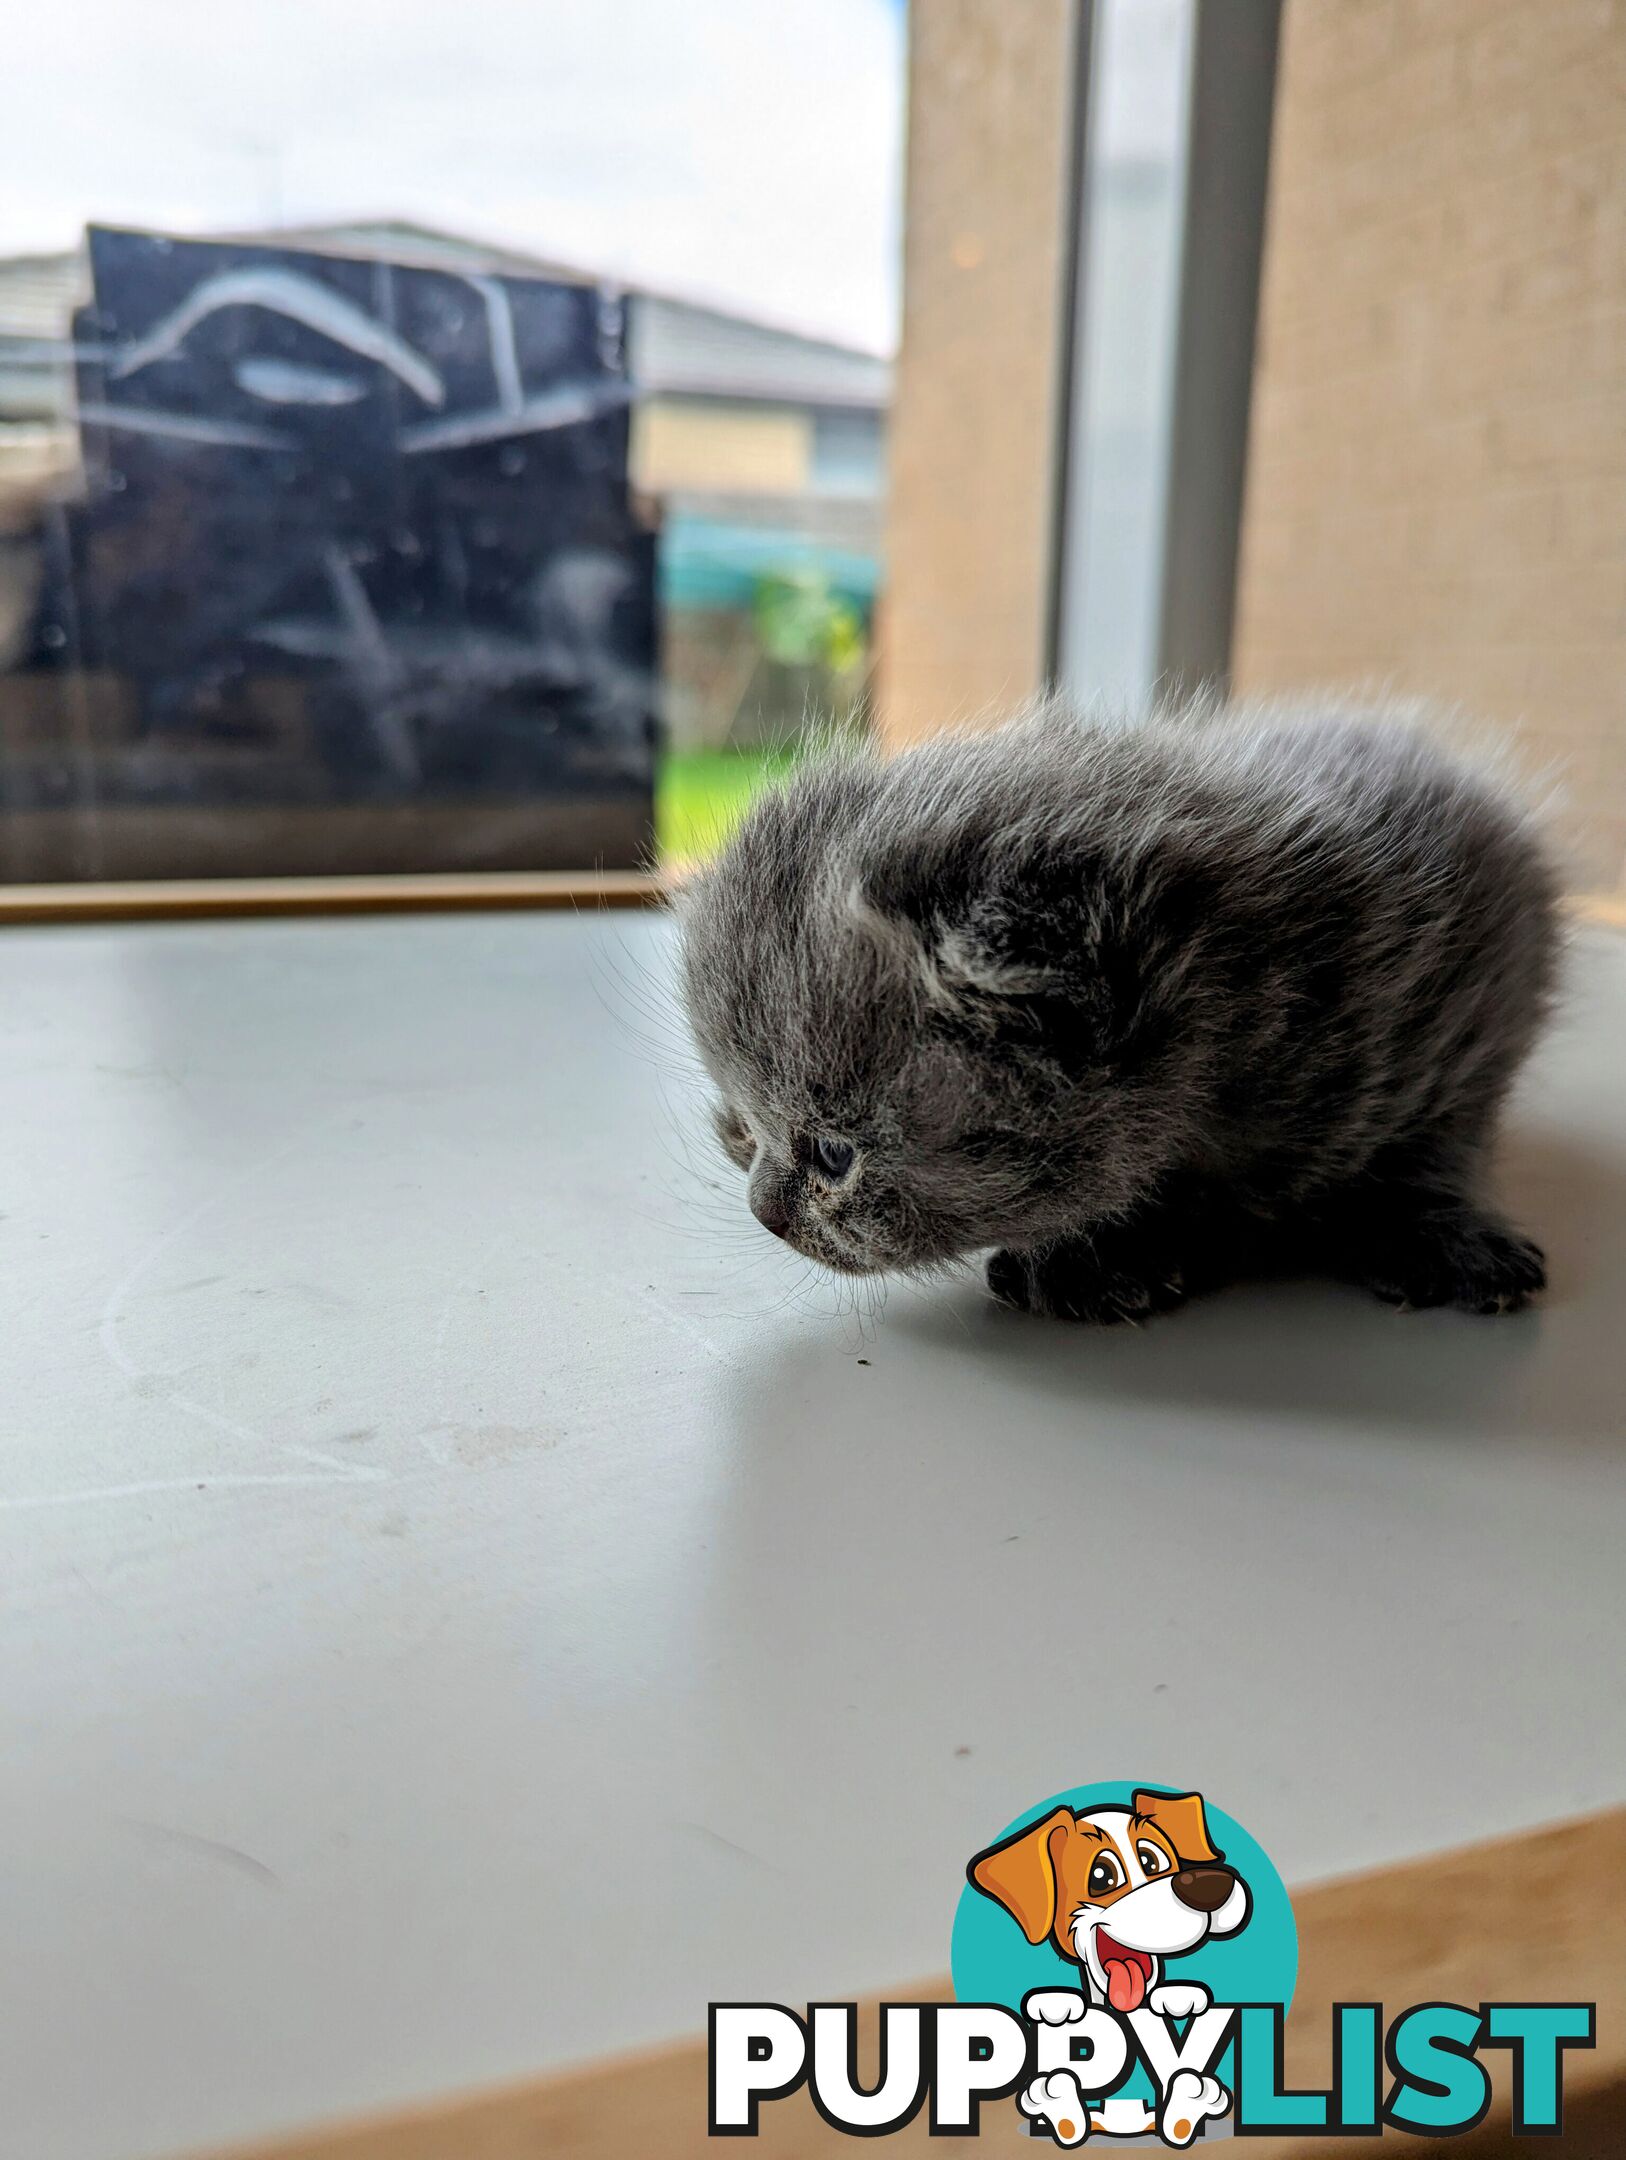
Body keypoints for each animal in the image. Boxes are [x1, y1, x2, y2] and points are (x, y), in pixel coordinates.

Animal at [673, 699, 1563, 1321]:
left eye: (834, 1154)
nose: (764, 1215)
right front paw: (1095, 1258)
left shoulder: (1473, 1003)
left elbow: (1436, 1149)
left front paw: (1437, 1233)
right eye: (751, 1125)